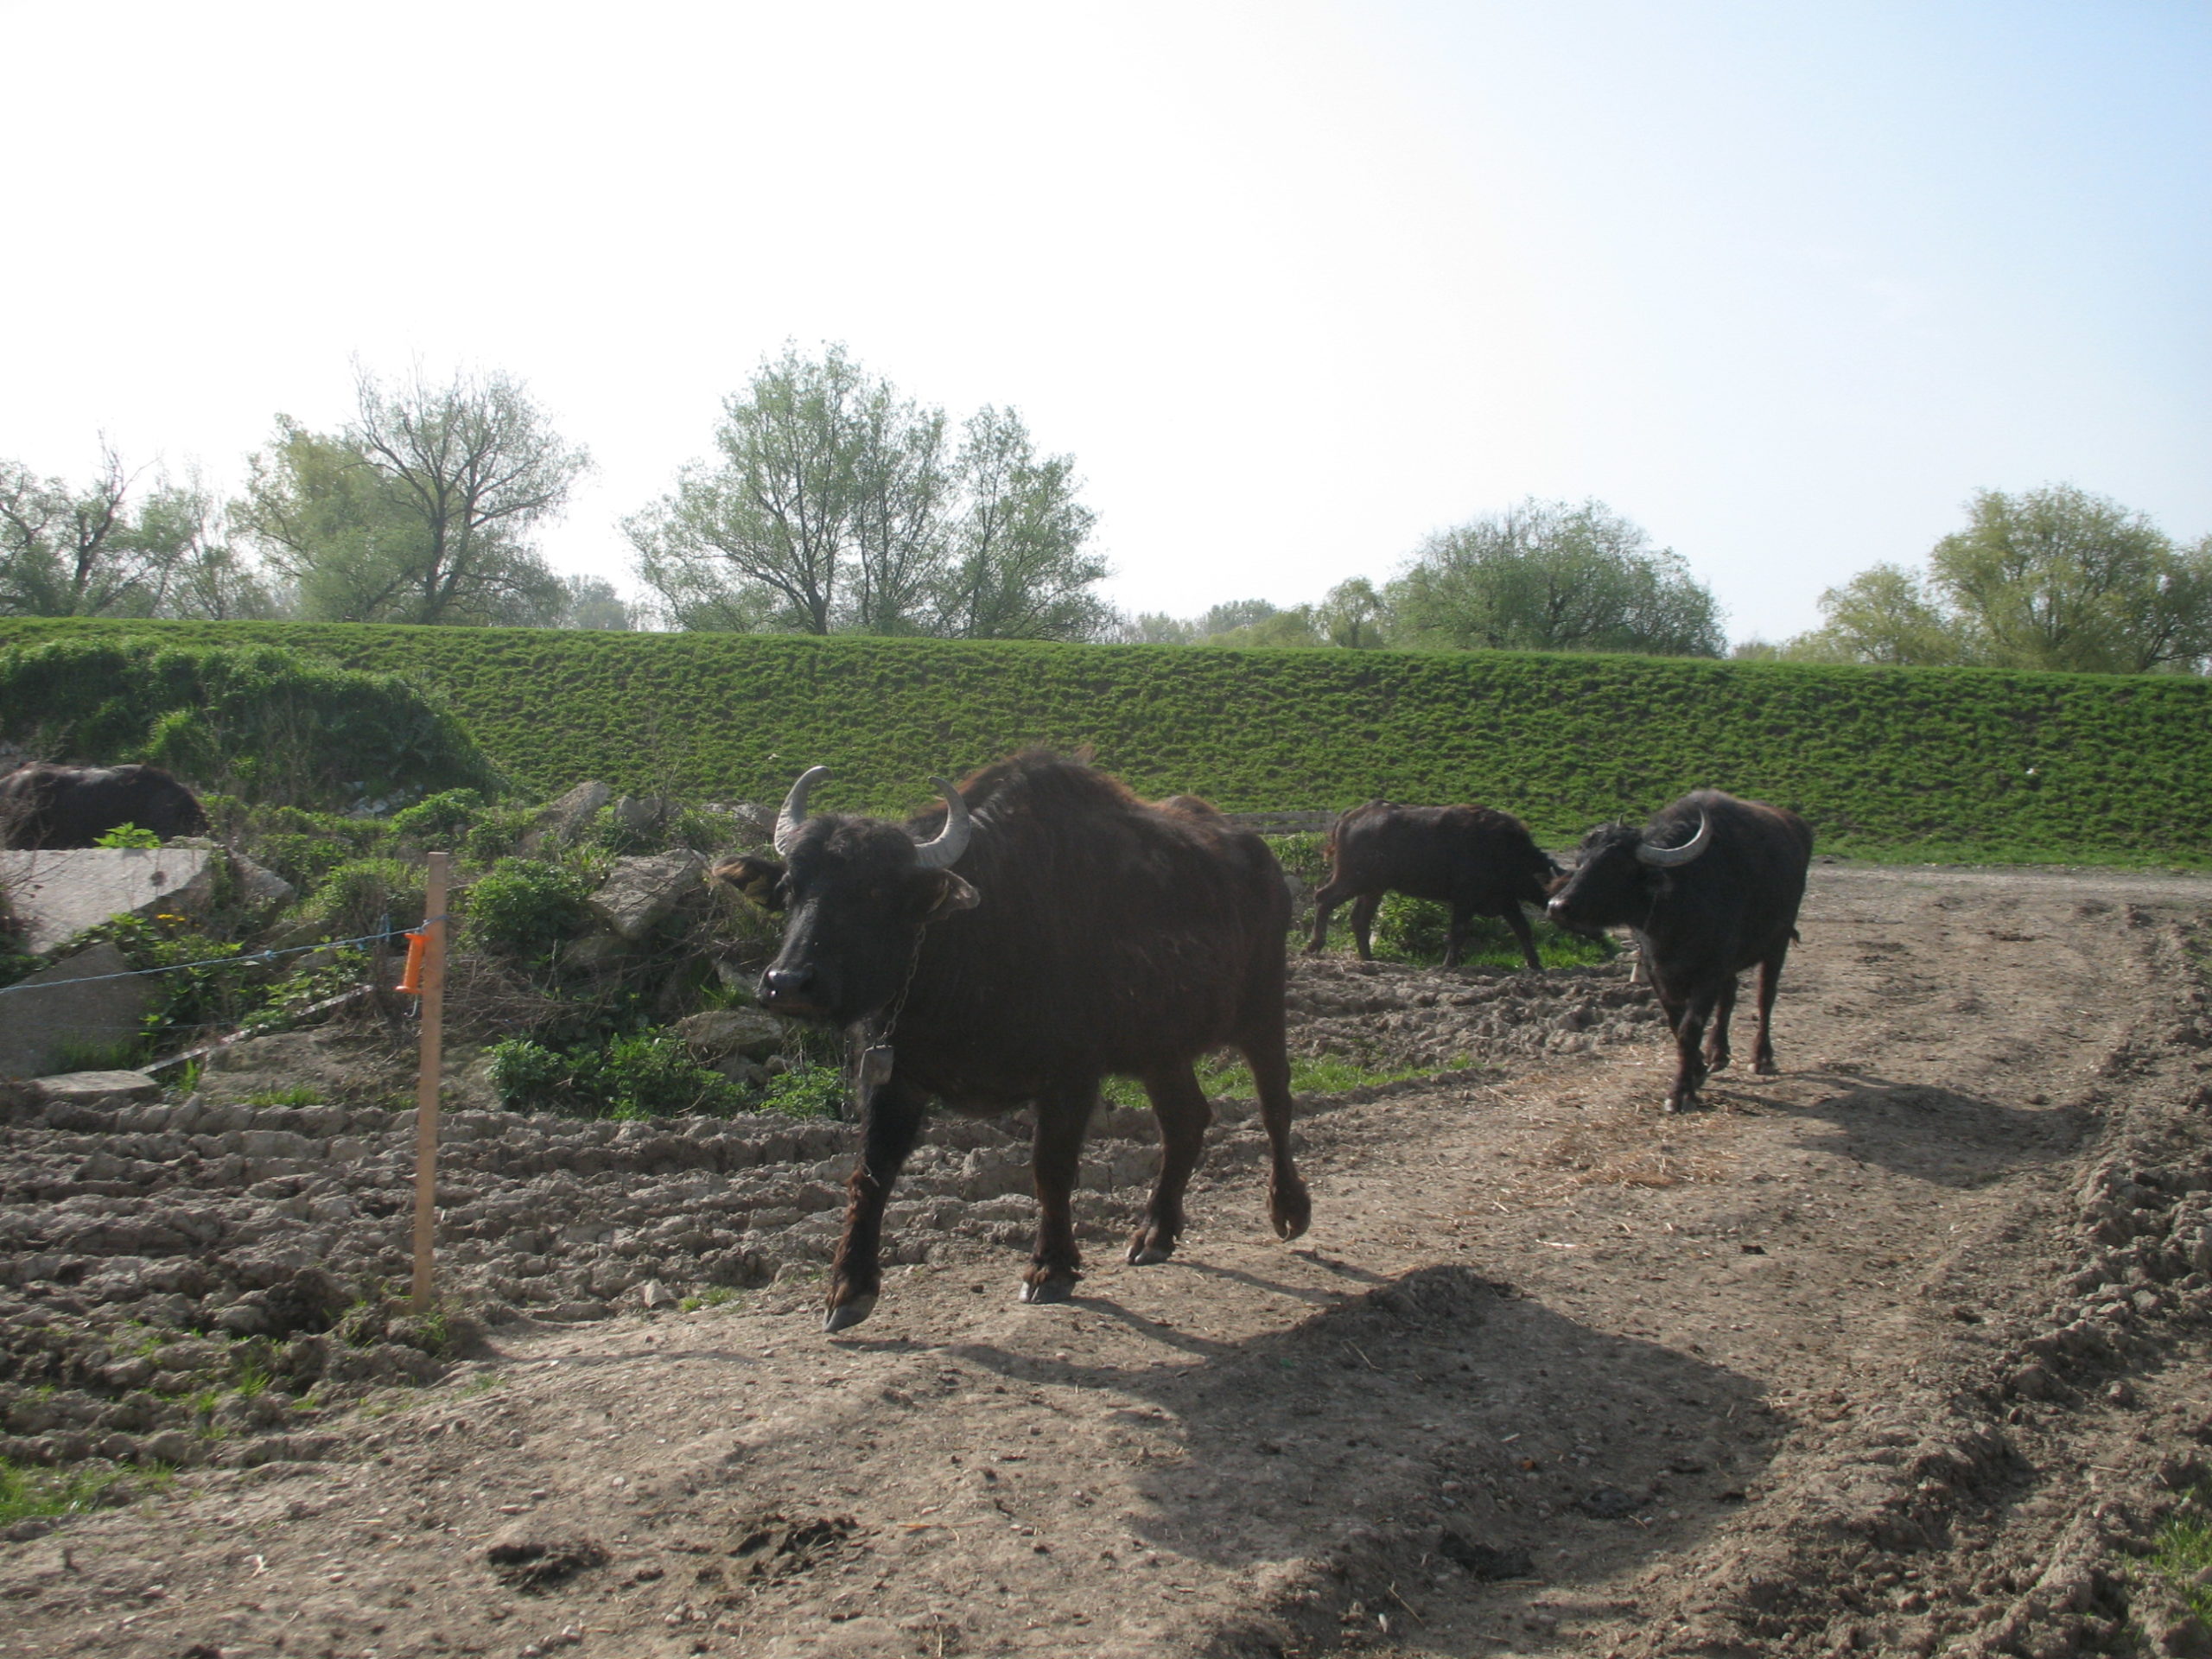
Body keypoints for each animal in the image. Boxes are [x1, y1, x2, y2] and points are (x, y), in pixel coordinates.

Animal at [714, 752, 1311, 1333]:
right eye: (791, 889)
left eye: (876, 891)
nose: (788, 983)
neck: (974, 944)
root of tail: (1262, 860)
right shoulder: (891, 1075)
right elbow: (871, 1173)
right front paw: (849, 1286)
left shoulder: (1072, 1077)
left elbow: (1050, 1168)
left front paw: (1051, 1266)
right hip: (1161, 1049)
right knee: (1186, 1120)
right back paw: (1155, 1233)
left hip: (1262, 1010)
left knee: (1275, 1103)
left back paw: (1288, 1209)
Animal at [1306, 801, 1561, 971]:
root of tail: (1353, 815)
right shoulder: (1465, 900)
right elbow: (1458, 932)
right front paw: (1448, 964)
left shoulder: (1506, 900)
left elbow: (1523, 929)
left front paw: (1536, 964)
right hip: (1353, 879)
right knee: (1324, 898)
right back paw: (1314, 946)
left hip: (1374, 888)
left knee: (1360, 918)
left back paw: (1368, 958)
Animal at [1544, 789, 1813, 1113]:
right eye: (1581, 861)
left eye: (1617, 866)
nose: (1558, 907)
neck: (1676, 911)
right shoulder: (1657, 971)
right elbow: (1676, 1024)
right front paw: (1697, 1069)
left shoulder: (1708, 973)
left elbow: (1689, 1028)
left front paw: (1681, 1092)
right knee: (1730, 996)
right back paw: (1717, 1054)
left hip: (1777, 943)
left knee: (1765, 997)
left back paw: (1761, 1058)